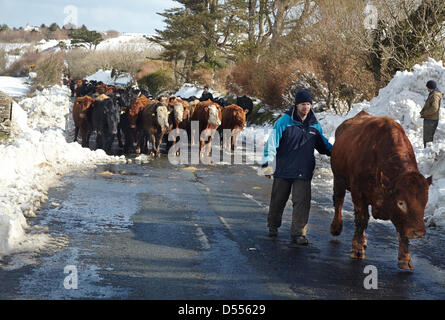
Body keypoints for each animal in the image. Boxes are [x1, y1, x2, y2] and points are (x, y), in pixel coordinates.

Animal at [330, 111, 430, 272]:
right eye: (401, 202)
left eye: (425, 202)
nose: (418, 232)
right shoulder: (359, 194)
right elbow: (361, 220)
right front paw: (357, 250)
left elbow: (402, 230)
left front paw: (405, 260)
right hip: (339, 180)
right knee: (338, 202)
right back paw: (336, 228)